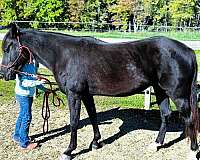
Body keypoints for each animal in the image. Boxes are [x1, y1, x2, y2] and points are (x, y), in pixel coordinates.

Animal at [0, 23, 198, 159]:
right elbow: (93, 116)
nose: (4, 74)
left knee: (189, 118)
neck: (64, 54)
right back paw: (156, 144)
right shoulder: (87, 94)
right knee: (165, 115)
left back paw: (192, 151)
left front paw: (69, 150)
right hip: (160, 90)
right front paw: (96, 142)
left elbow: (74, 122)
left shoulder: (74, 95)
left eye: (8, 48)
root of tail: (188, 50)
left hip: (178, 95)